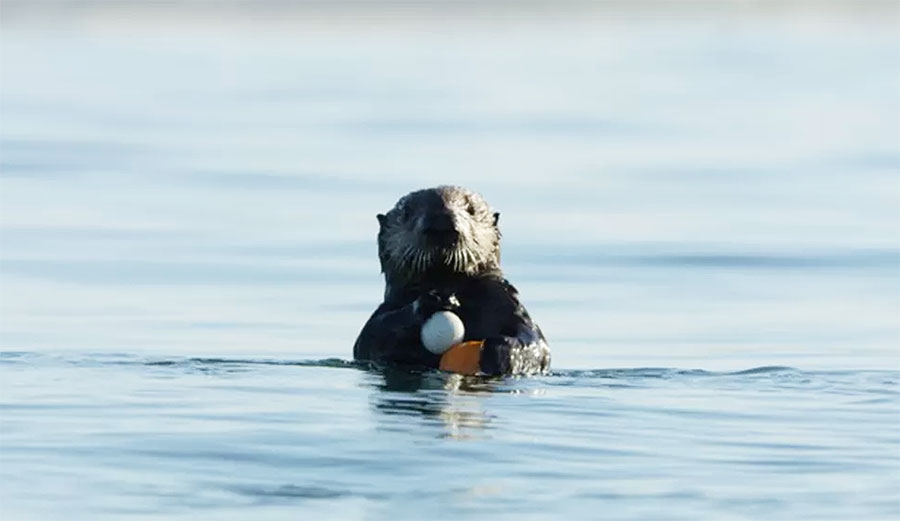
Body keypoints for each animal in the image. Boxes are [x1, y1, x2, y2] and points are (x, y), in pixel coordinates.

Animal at [353, 185, 550, 375]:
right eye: (407, 212)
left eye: (471, 209)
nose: (441, 223)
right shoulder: (386, 311)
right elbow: (371, 336)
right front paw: (432, 301)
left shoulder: (507, 303)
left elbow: (535, 342)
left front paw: (498, 351)